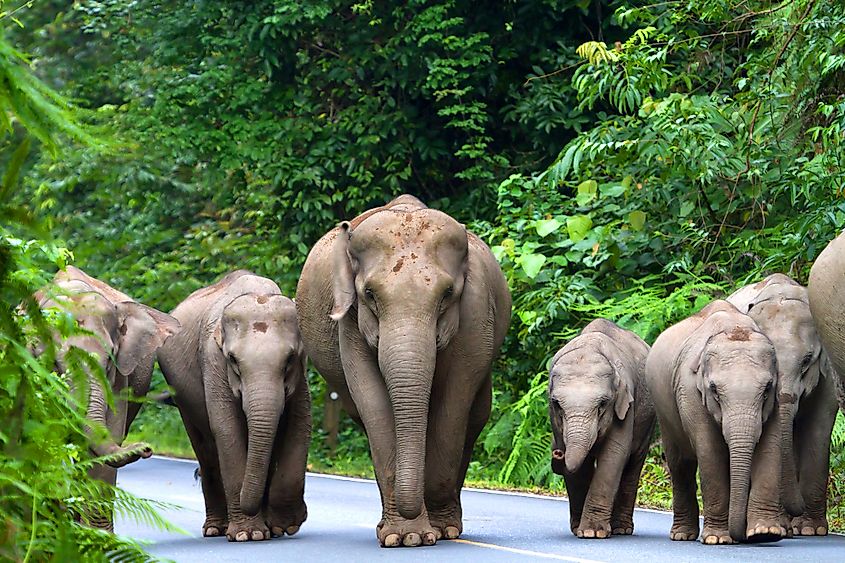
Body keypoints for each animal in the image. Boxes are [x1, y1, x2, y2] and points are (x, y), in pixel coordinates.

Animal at [158, 270, 310, 544]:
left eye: (289, 359)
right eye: (233, 360)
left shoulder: (301, 375)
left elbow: (299, 426)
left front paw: (285, 526)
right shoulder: (212, 361)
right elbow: (227, 430)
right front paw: (248, 534)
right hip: (183, 399)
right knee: (206, 451)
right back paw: (215, 529)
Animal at [294, 194, 512, 548]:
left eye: (447, 294)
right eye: (369, 294)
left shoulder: (476, 313)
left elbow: (454, 402)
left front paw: (438, 531)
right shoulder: (350, 324)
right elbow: (373, 403)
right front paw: (406, 537)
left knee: (475, 416)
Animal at [544, 320, 656, 540]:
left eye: (603, 404)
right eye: (557, 404)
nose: (558, 452)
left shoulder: (626, 405)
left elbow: (614, 455)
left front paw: (592, 532)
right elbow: (580, 466)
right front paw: (581, 529)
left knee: (633, 465)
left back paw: (621, 529)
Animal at [648, 304, 784, 548]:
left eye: (767, 389)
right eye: (714, 390)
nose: (743, 538)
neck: (733, 326)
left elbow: (770, 448)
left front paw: (765, 533)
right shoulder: (689, 392)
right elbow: (710, 452)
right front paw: (717, 539)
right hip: (664, 412)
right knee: (680, 464)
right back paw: (682, 535)